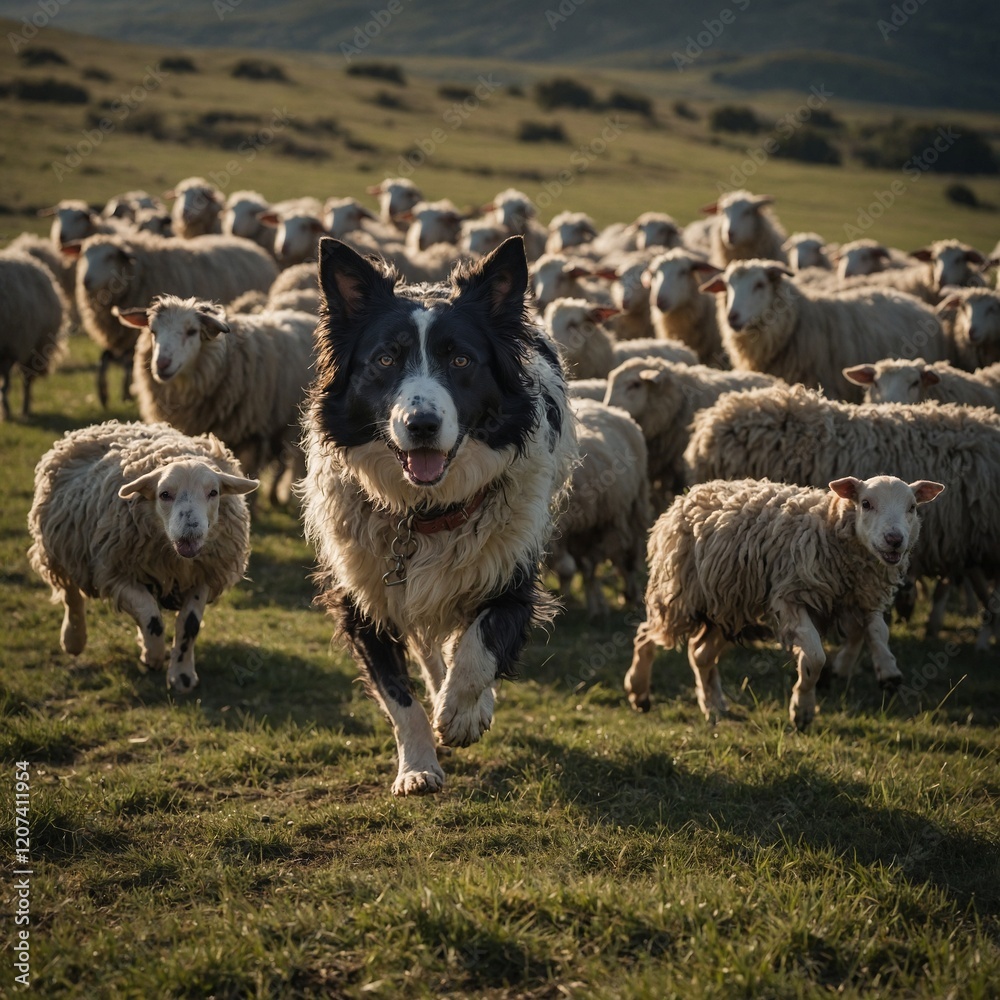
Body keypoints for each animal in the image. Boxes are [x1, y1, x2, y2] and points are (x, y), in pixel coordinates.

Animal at [0, 252, 67, 420]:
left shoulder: (10, 348)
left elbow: (5, 386)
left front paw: (7, 413)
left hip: (34, 346)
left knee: (26, 380)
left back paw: (24, 410)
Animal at [27, 420, 257, 691]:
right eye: (164, 494)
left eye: (213, 492)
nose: (191, 530)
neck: (175, 559)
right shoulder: (115, 573)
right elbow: (150, 615)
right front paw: (153, 656)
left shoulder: (203, 575)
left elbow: (189, 625)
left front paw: (181, 675)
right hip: (63, 546)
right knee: (71, 595)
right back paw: (74, 639)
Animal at [73, 231, 278, 407]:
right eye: (84, 255)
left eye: (109, 256)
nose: (85, 281)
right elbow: (105, 359)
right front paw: (106, 395)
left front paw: (124, 395)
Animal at [625, 475, 944, 728]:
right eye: (866, 503)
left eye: (912, 507)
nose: (895, 540)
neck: (828, 527)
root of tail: (689, 493)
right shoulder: (791, 598)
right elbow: (815, 658)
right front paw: (801, 709)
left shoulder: (860, 597)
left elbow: (878, 631)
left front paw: (888, 670)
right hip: (682, 595)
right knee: (645, 634)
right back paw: (639, 691)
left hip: (730, 603)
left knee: (700, 653)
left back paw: (713, 706)